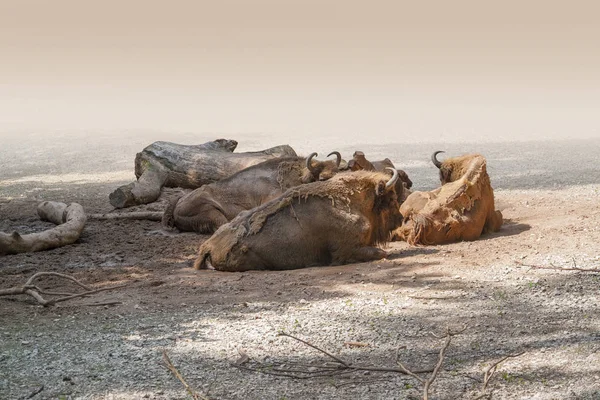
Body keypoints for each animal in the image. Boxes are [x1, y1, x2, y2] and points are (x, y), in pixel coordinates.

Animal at [196, 169, 404, 272]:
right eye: (391, 199)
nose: (400, 219)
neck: (353, 202)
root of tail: (208, 246)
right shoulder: (347, 251)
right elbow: (380, 253)